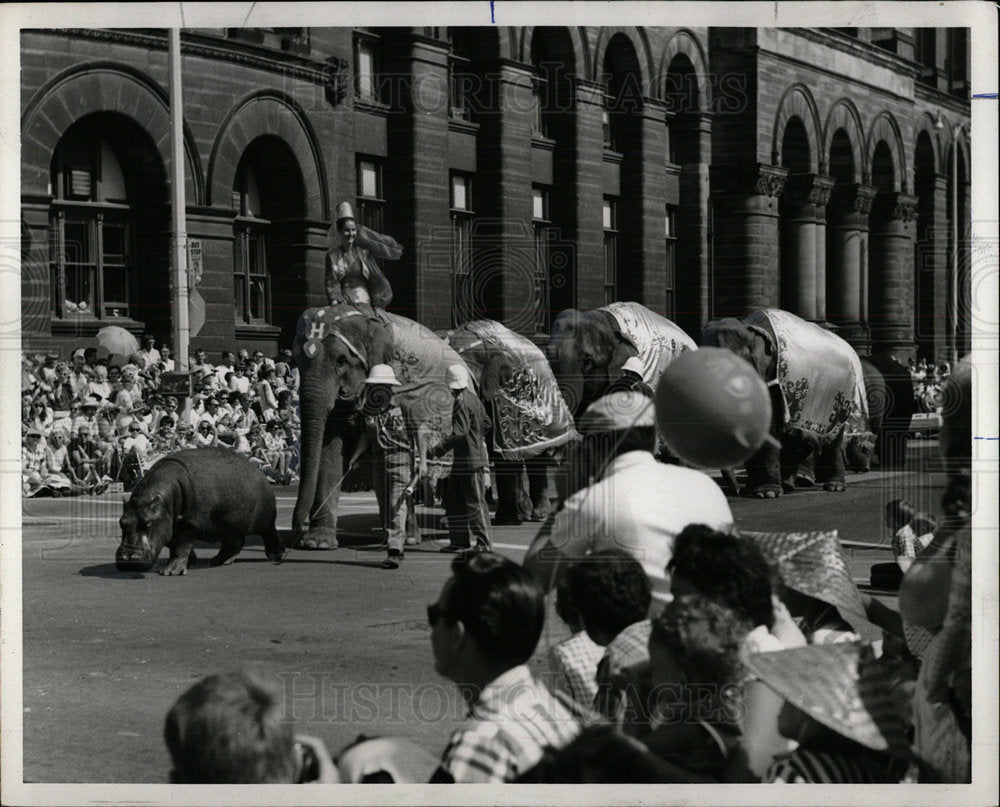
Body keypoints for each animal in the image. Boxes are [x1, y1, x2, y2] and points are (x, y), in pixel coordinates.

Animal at [292, 304, 466, 548]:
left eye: (341, 361)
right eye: (296, 362)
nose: (296, 531)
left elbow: (387, 458)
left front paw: (402, 536)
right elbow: (329, 452)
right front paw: (318, 543)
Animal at [704, 310, 868, 498]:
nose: (737, 491)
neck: (750, 330)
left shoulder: (772, 379)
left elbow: (767, 427)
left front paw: (766, 493)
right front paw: (753, 490)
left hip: (842, 398)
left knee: (832, 439)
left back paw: (834, 487)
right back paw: (789, 484)